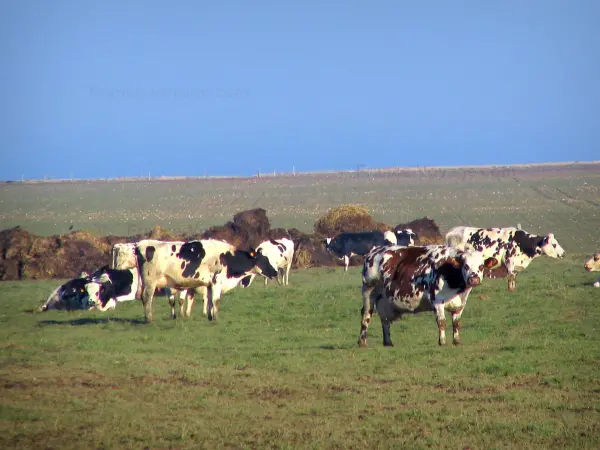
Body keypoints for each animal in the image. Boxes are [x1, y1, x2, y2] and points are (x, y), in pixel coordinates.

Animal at [135, 237, 278, 322]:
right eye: (264, 259)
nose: (275, 272)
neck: (228, 258)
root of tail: (141, 244)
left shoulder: (209, 284)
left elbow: (209, 300)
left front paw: (210, 316)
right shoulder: (217, 281)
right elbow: (216, 300)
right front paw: (216, 318)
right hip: (150, 281)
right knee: (147, 297)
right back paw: (149, 319)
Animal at [356, 246, 496, 348]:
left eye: (481, 266)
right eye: (465, 266)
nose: (474, 279)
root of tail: (375, 251)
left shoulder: (460, 304)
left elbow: (456, 322)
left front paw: (456, 341)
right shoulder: (437, 301)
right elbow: (442, 322)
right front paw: (442, 342)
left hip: (384, 300)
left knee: (385, 320)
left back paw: (388, 342)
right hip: (368, 291)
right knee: (366, 315)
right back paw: (362, 342)